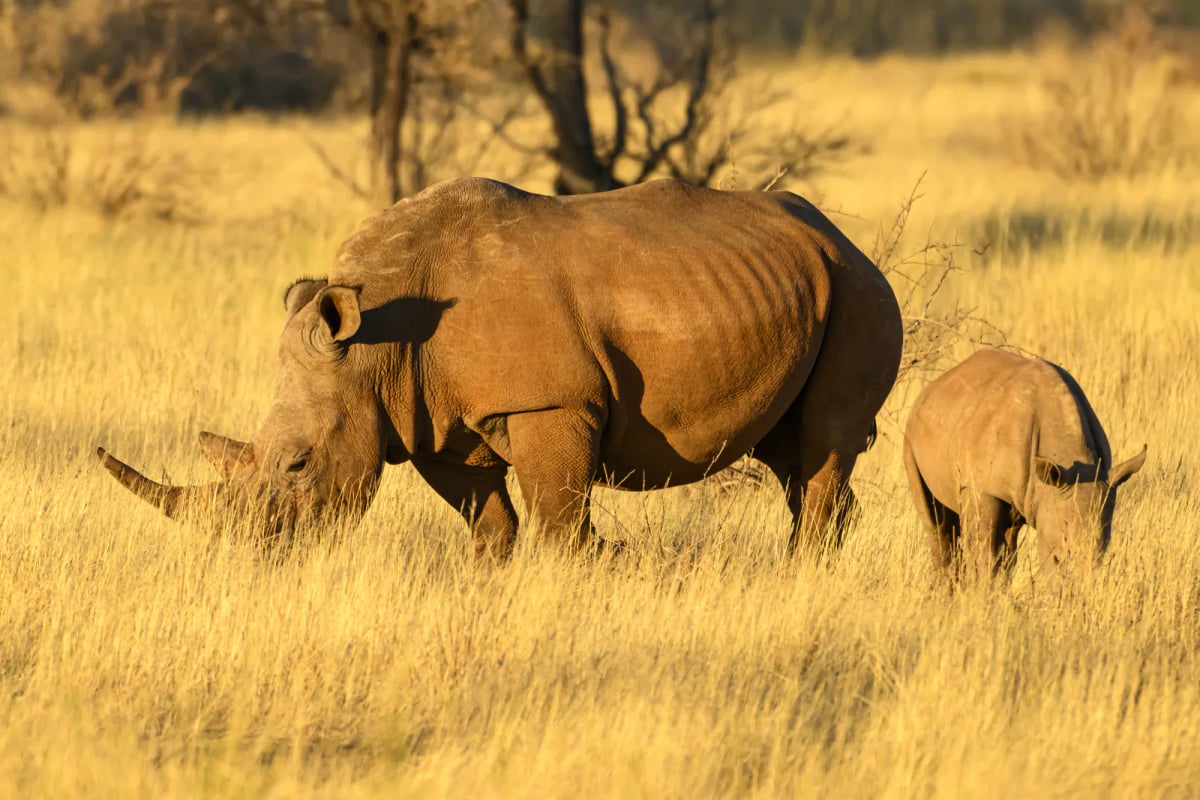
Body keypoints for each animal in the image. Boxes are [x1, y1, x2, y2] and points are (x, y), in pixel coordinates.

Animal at [98, 177, 902, 558]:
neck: (375, 345)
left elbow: (558, 523)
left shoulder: (551, 403)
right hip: (797, 288)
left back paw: (803, 575)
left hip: (861, 293)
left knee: (826, 440)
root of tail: (844, 239)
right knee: (789, 454)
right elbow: (490, 525)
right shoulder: (427, 419)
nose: (251, 555)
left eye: (298, 465)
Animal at [903, 347, 1146, 581]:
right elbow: (983, 551)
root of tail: (935, 385)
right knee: (938, 525)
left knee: (1007, 542)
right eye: (1057, 559)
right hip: (912, 434)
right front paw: (979, 592)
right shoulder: (981, 485)